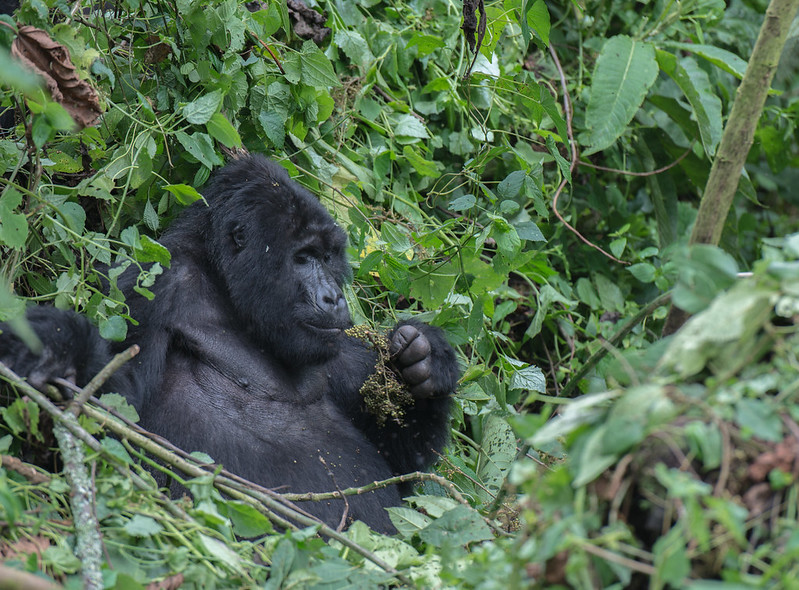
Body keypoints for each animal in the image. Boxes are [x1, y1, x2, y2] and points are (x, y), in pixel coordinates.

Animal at [0, 155, 460, 536]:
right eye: (303, 257)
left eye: (330, 257)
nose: (334, 297)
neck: (226, 289)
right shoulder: (152, 282)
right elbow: (115, 412)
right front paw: (59, 347)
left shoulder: (337, 343)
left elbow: (403, 467)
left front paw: (426, 359)